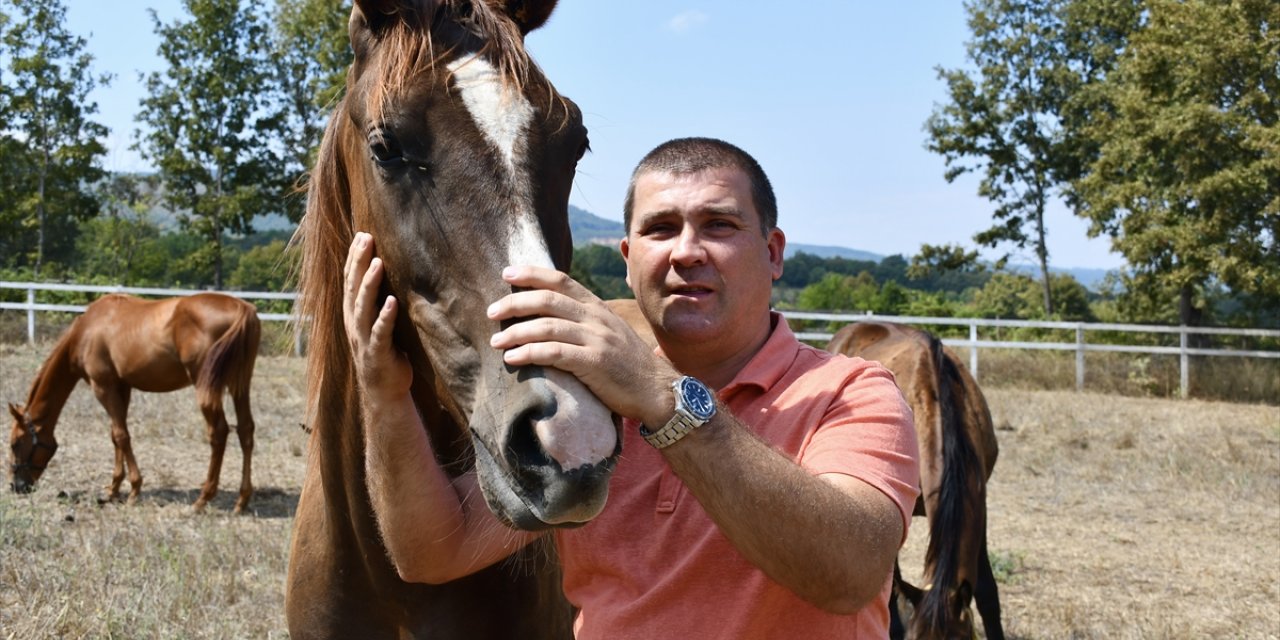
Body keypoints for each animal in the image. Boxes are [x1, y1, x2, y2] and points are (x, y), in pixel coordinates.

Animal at [6, 293, 262, 512]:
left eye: (15, 443)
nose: (16, 486)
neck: (88, 329)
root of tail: (242, 308)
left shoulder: (103, 387)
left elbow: (122, 436)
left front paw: (134, 490)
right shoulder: (122, 387)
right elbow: (116, 435)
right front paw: (113, 489)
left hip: (206, 387)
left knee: (219, 433)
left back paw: (203, 499)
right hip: (240, 385)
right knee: (246, 430)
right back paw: (242, 500)